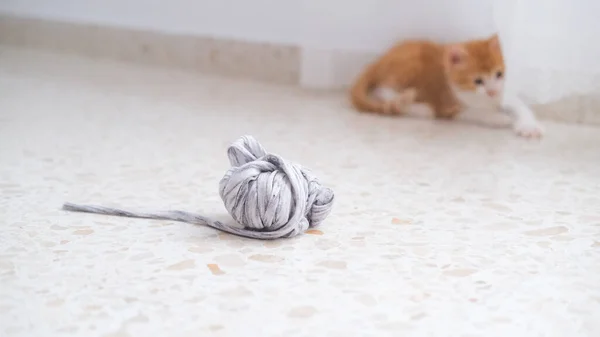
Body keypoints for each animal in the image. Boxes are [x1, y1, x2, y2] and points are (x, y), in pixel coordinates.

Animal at [352, 34, 544, 138]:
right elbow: (476, 113)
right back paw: (418, 108)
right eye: (478, 81)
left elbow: (519, 105)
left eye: (498, 74)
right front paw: (500, 118)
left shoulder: (502, 92)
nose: (492, 92)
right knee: (381, 90)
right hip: (408, 67)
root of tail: (378, 60)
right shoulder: (447, 106)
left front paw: (529, 126)